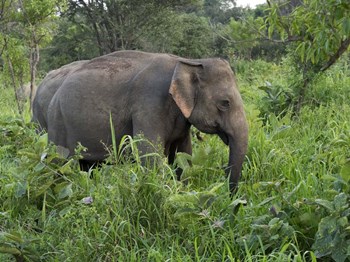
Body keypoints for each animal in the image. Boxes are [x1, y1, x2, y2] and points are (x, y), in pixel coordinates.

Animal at [32, 50, 247, 192]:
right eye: (225, 103)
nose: (230, 196)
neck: (188, 61)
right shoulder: (149, 104)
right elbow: (150, 156)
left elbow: (183, 156)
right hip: (56, 122)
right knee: (58, 163)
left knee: (88, 166)